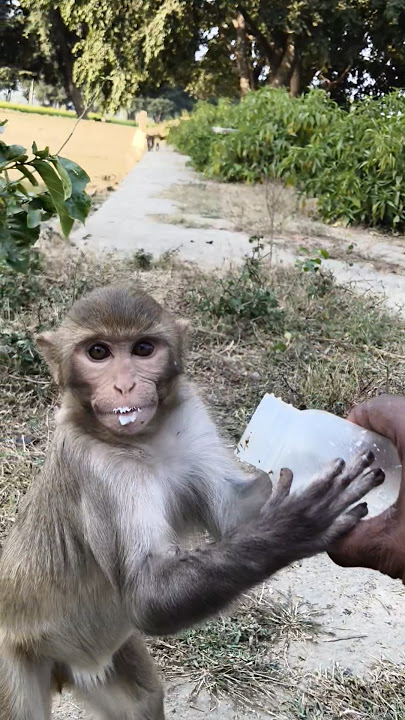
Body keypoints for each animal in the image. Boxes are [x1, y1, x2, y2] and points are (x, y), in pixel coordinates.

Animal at [0, 285, 385, 719]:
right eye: (98, 352)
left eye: (143, 348)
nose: (124, 387)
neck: (143, 441)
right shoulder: (98, 468)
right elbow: (147, 595)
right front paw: (296, 526)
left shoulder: (190, 416)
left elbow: (232, 516)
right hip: (12, 660)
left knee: (143, 701)